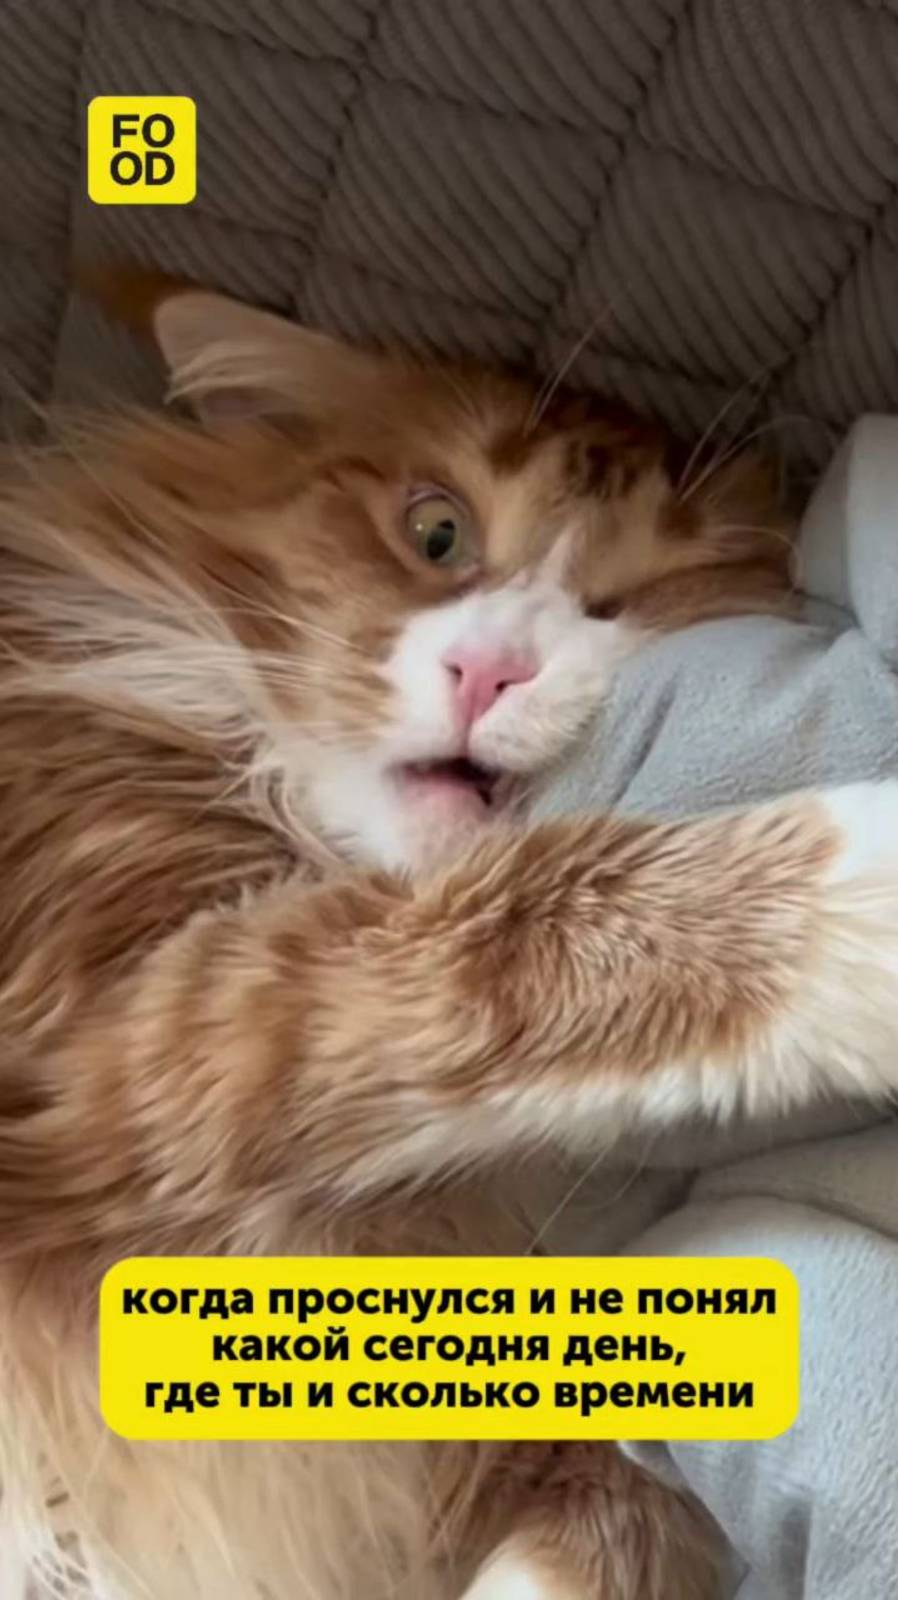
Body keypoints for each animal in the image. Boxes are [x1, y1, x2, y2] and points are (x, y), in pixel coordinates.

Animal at [1, 281, 897, 1600]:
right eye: (436, 534)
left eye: (646, 598)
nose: (490, 670)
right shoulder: (112, 1039)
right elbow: (529, 925)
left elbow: (595, 1536)